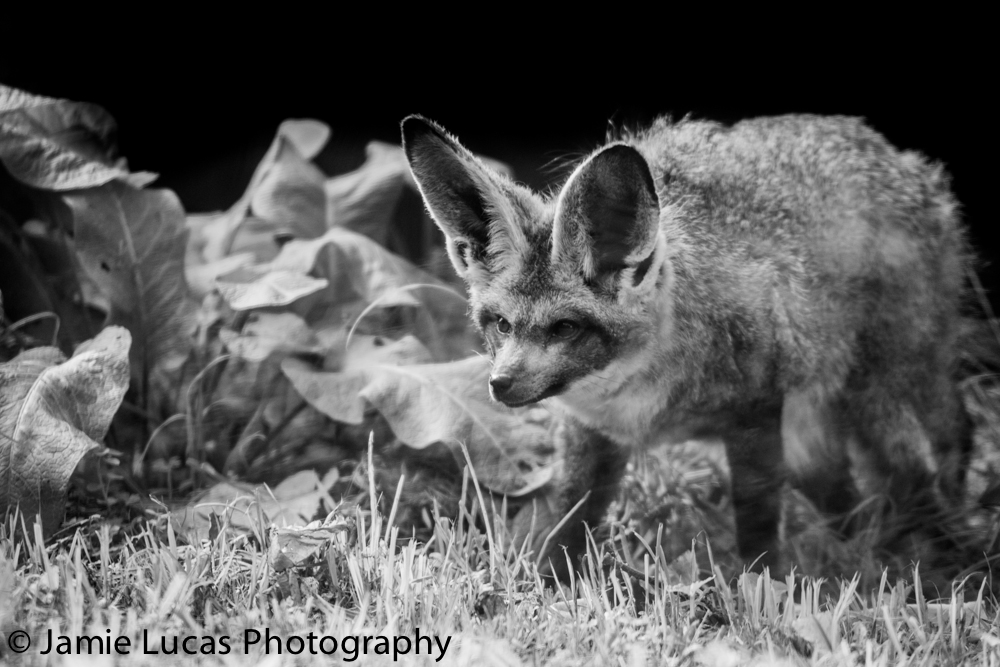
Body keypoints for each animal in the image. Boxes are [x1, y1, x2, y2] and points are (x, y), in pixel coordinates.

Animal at [400, 113, 975, 579]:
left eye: (564, 328)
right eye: (500, 324)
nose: (501, 385)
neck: (635, 398)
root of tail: (902, 159)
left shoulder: (755, 412)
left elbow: (757, 520)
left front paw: (763, 590)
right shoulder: (592, 436)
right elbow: (568, 517)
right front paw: (542, 585)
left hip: (872, 403)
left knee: (924, 470)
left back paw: (944, 567)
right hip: (814, 442)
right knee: (853, 498)